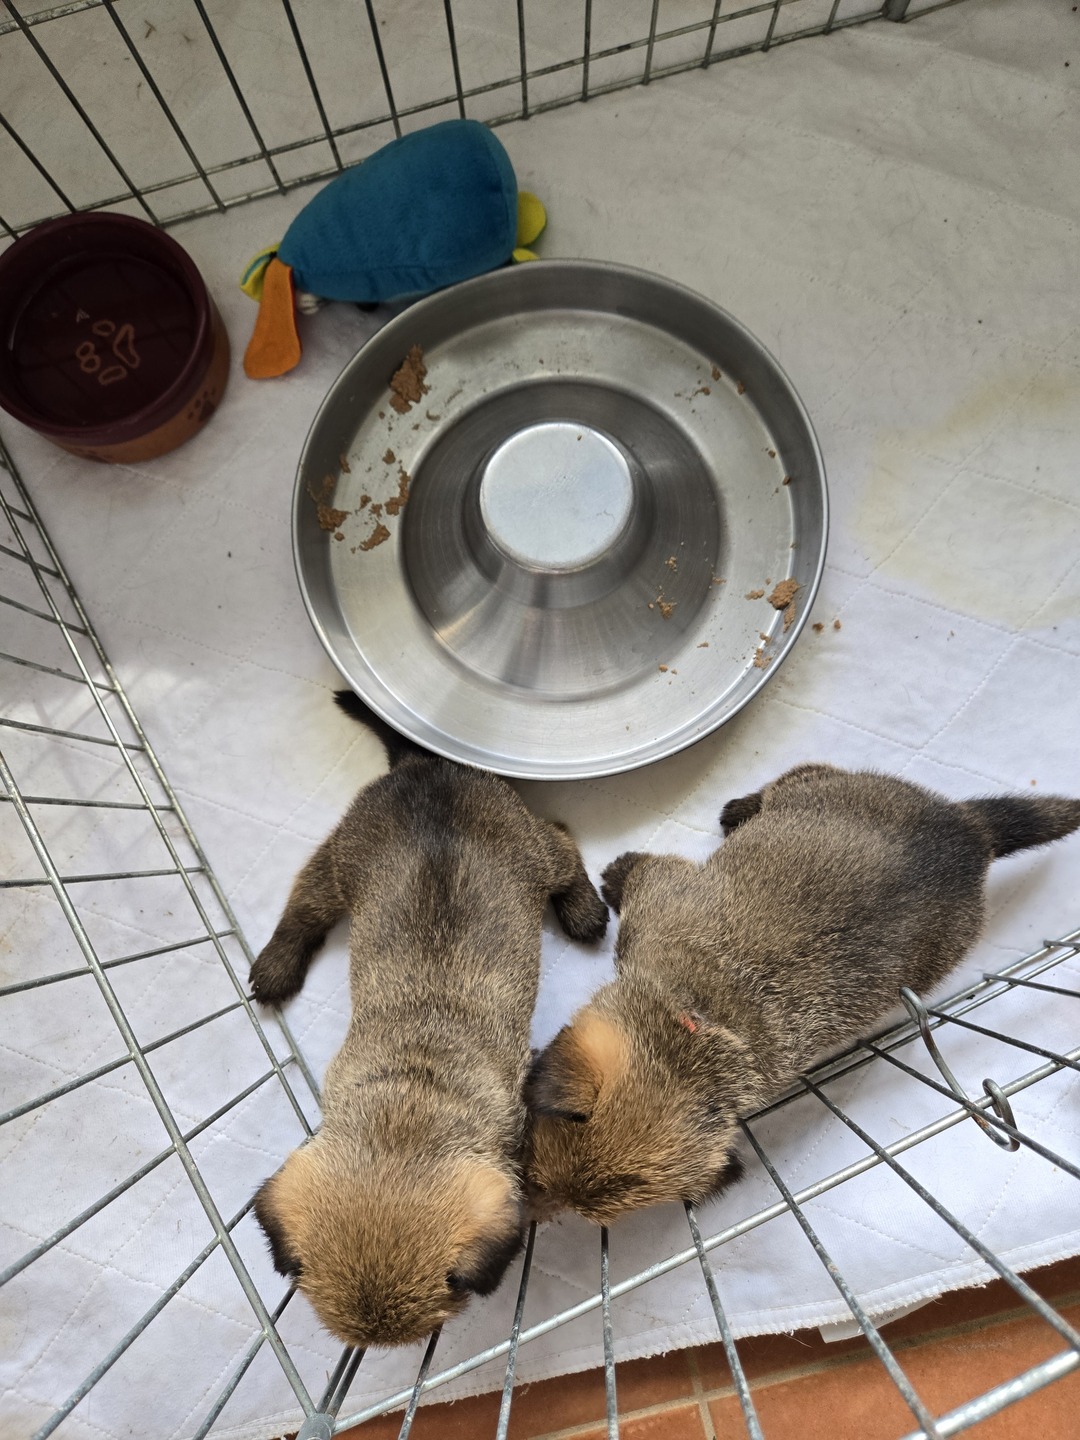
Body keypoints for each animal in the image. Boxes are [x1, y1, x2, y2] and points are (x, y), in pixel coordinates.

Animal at [250, 691, 607, 1347]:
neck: (411, 1102)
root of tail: (426, 766)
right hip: (341, 863)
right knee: (302, 907)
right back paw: (278, 963)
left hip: (524, 850)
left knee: (564, 846)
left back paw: (583, 907)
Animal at [524, 763, 1080, 1226]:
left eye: (542, 1183)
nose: (532, 1217)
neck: (697, 1030)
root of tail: (970, 830)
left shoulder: (659, 895)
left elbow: (641, 869)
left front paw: (615, 871)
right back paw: (739, 809)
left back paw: (741, 809)